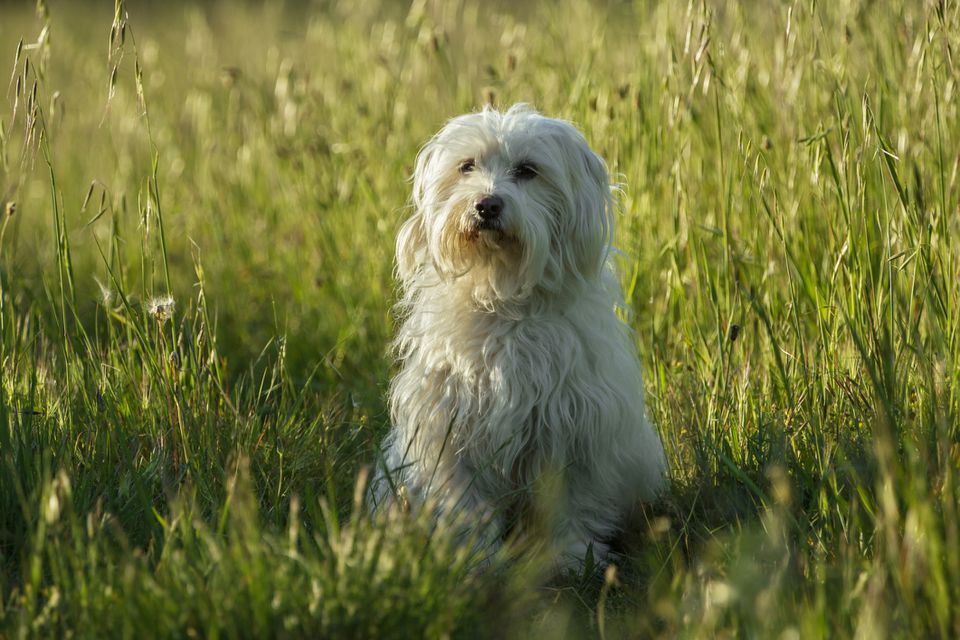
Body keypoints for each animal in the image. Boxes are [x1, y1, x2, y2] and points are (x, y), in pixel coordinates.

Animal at [368, 105, 668, 568]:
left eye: (528, 170)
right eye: (467, 166)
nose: (487, 204)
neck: (504, 300)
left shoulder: (574, 428)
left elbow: (571, 503)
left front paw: (573, 554)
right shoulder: (451, 429)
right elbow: (465, 505)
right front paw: (475, 557)